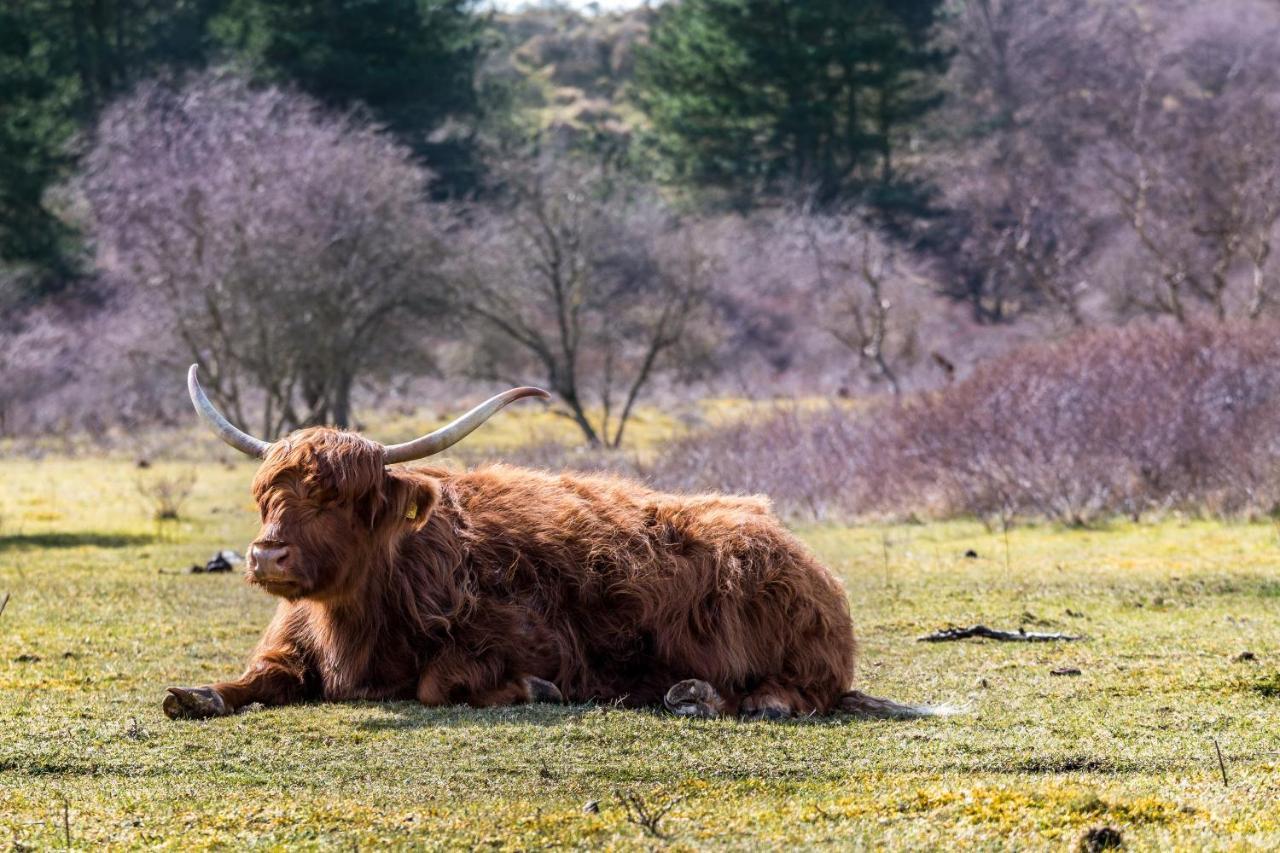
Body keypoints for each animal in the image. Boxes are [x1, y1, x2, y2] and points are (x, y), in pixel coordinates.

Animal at [162, 363, 952, 717]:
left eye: (338, 500)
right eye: (268, 496)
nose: (267, 555)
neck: (355, 619)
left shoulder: (532, 638)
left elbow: (438, 681)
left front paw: (531, 689)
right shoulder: (289, 646)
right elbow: (255, 679)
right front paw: (192, 694)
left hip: (791, 643)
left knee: (798, 692)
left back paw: (717, 696)